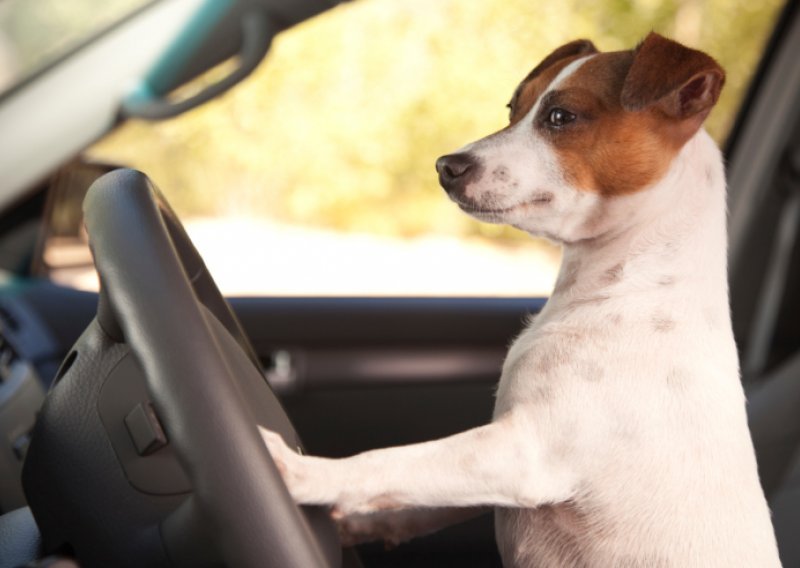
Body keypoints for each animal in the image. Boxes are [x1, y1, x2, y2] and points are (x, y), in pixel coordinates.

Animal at [262, 33, 780, 564]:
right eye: (513, 108)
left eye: (560, 117)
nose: (445, 166)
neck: (624, 286)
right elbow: (411, 498)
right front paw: (350, 527)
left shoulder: (524, 453)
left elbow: (389, 462)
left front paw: (299, 472)